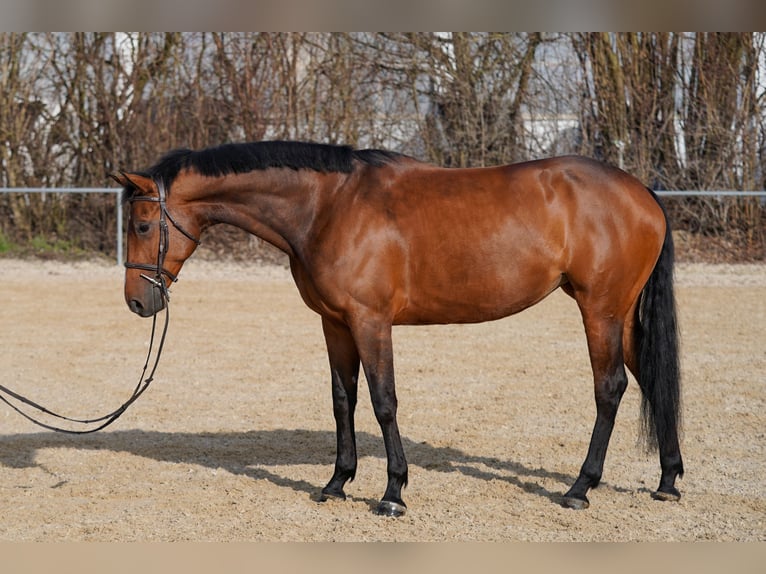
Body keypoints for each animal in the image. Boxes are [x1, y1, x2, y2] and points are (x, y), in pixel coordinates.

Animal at [112, 141, 684, 516]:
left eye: (142, 225)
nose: (138, 302)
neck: (328, 206)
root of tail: (643, 192)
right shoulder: (335, 324)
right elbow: (343, 401)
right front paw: (337, 483)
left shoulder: (371, 322)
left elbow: (384, 402)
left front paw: (392, 493)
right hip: (622, 316)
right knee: (653, 380)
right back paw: (667, 479)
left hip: (600, 311)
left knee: (610, 388)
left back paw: (579, 488)